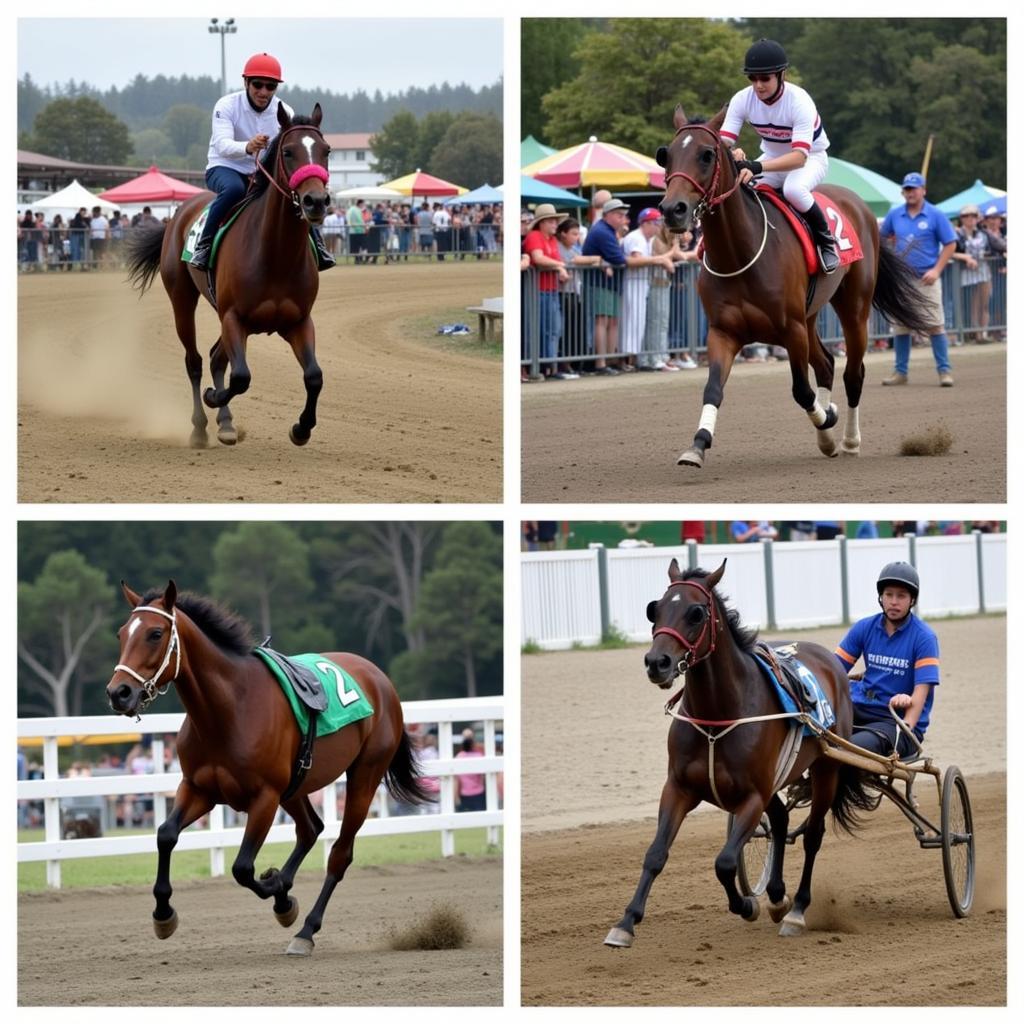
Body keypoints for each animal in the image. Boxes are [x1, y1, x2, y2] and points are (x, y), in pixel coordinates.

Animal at [101, 581, 425, 954]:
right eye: (122, 633)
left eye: (155, 634)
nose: (119, 693)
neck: (228, 710)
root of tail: (380, 678)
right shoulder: (198, 789)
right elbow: (166, 834)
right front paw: (164, 913)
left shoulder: (265, 798)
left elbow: (243, 868)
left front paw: (279, 892)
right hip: (296, 786)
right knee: (311, 829)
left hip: (363, 778)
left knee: (339, 855)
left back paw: (305, 930)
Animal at [123, 102, 331, 448]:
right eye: (288, 152)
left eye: (326, 150)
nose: (316, 201)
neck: (275, 254)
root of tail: (178, 214)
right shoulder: (234, 317)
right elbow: (241, 376)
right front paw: (212, 397)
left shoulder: (299, 321)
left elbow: (314, 376)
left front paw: (301, 429)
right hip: (182, 299)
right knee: (194, 361)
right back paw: (199, 427)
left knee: (215, 357)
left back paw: (226, 424)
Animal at [598, 565, 872, 946]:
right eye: (656, 609)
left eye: (696, 613)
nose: (657, 662)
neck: (718, 716)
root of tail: (829, 660)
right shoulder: (679, 788)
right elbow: (655, 854)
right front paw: (625, 923)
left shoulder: (752, 796)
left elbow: (725, 862)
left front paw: (746, 904)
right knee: (781, 821)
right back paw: (777, 896)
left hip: (827, 768)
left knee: (813, 835)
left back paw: (797, 910)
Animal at [655, 104, 937, 468]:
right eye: (667, 155)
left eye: (706, 155)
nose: (672, 210)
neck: (739, 254)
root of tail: (859, 205)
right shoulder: (723, 332)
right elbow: (713, 388)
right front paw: (697, 445)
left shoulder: (791, 329)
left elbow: (802, 390)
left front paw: (828, 420)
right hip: (811, 315)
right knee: (827, 365)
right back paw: (830, 438)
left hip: (853, 308)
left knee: (852, 374)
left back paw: (849, 441)